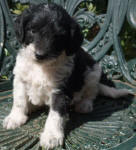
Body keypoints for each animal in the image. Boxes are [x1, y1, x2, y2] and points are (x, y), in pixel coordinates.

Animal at [2, 2, 130, 149]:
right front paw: (15, 118)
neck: (41, 67)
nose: (39, 55)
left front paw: (51, 136)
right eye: (32, 31)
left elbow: (55, 114)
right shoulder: (20, 79)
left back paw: (84, 104)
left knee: (92, 92)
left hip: (93, 72)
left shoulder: (61, 90)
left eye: (58, 36)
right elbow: (19, 100)